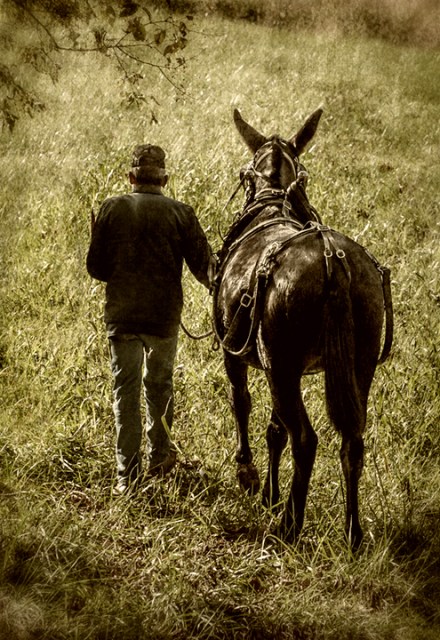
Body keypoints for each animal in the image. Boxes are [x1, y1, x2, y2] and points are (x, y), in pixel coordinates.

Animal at [212, 108, 393, 550]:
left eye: (244, 174)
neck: (272, 205)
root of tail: (332, 262)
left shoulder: (237, 354)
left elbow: (243, 403)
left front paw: (250, 477)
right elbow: (275, 428)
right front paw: (270, 494)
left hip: (283, 367)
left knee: (306, 440)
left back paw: (290, 524)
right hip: (359, 367)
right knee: (352, 442)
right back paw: (352, 532)